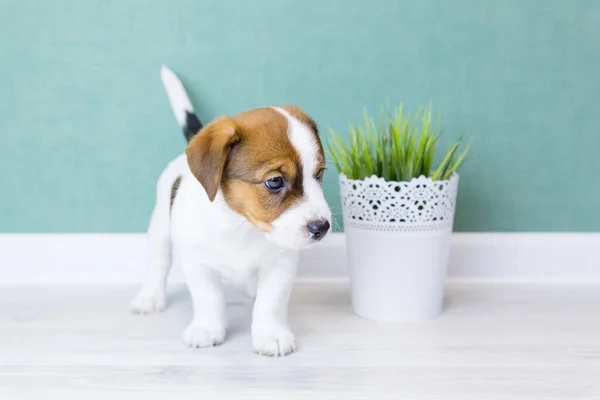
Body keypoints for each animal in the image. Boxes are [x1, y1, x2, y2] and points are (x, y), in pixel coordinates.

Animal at [129, 66, 332, 356]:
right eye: (275, 181)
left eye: (319, 174)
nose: (322, 227)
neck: (240, 225)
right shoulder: (198, 263)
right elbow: (209, 298)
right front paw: (207, 329)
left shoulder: (280, 264)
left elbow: (270, 303)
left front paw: (271, 334)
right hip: (160, 228)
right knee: (159, 263)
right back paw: (150, 297)